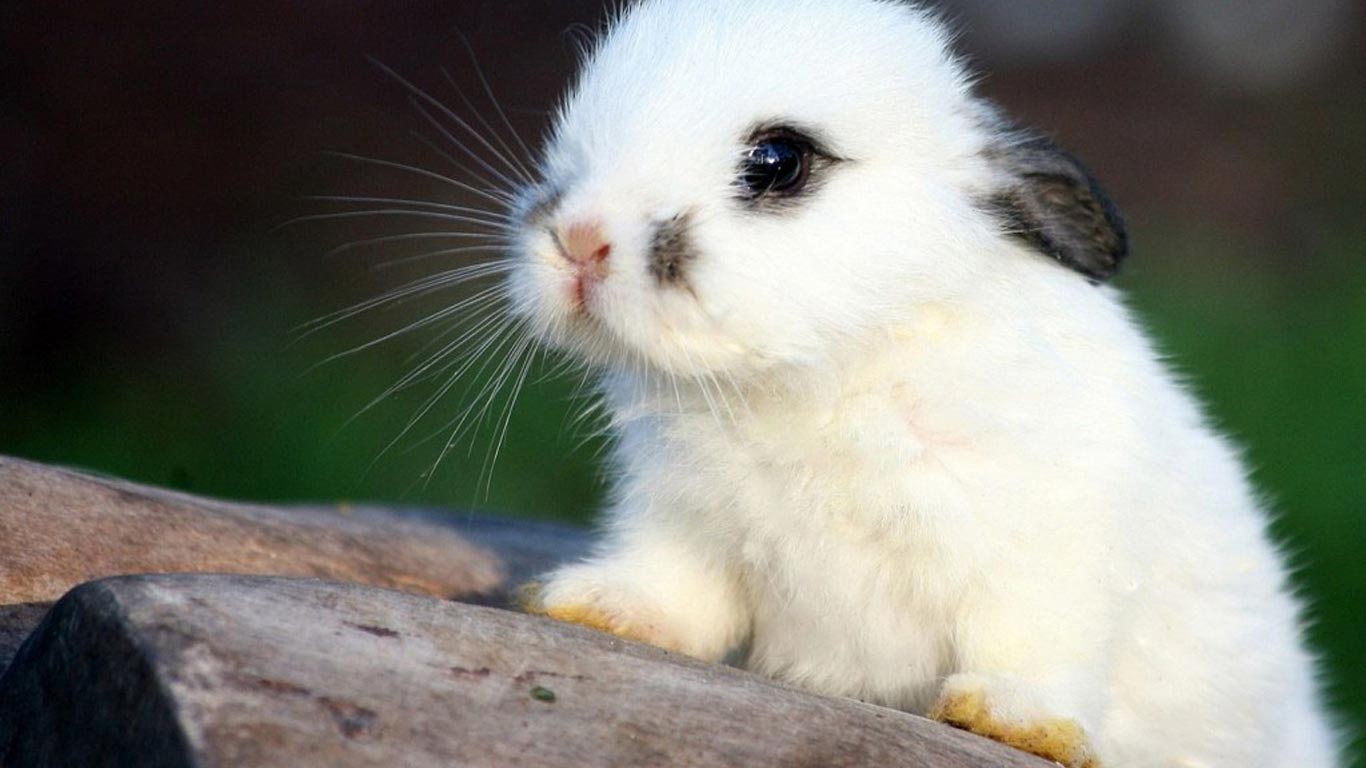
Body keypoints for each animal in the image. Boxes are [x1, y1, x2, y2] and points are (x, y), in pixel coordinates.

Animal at [500, 0, 1341, 765]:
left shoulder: (1048, 550)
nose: (579, 240)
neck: (822, 376)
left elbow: (1033, 641)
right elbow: (676, 594)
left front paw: (1010, 719)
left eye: (778, 161)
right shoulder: (682, 524)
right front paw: (591, 606)